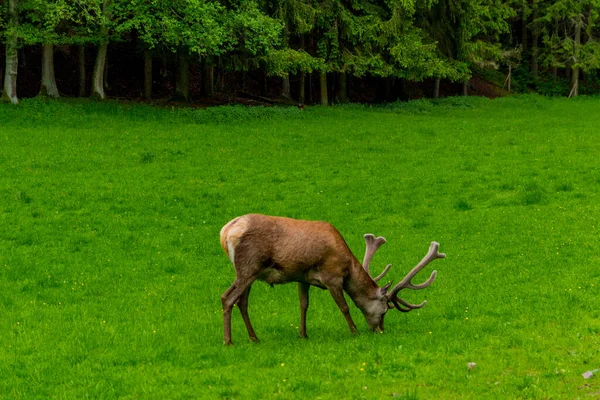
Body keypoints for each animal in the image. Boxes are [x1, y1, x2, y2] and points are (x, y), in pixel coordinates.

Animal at [220, 214, 446, 346]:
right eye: (384, 311)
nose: (380, 330)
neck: (347, 265)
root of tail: (225, 232)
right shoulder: (332, 276)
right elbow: (344, 306)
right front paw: (354, 332)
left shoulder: (302, 277)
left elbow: (303, 305)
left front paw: (303, 334)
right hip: (249, 267)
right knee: (227, 297)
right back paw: (228, 341)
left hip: (250, 273)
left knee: (242, 301)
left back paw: (254, 337)